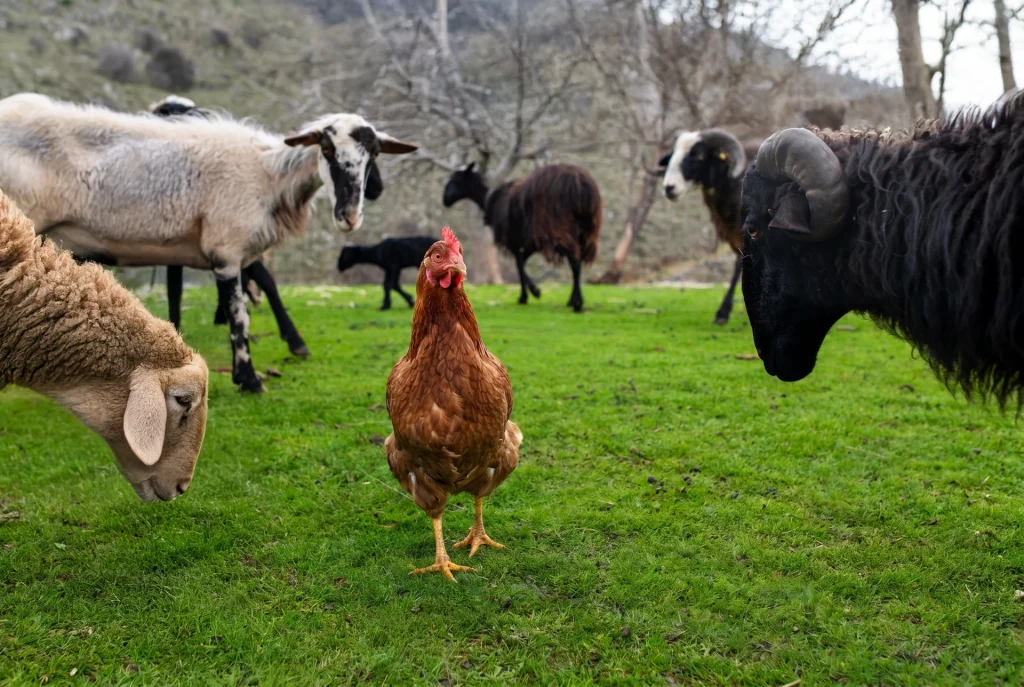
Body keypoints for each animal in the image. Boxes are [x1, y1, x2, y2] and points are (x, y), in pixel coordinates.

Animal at [0, 93, 417, 392]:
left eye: (373, 154)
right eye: (326, 150)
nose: (349, 216)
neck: (269, 177)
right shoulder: (227, 250)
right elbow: (239, 316)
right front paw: (249, 379)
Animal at [442, 163, 602, 312]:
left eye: (456, 180)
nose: (445, 200)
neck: (489, 201)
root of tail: (581, 186)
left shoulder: (516, 240)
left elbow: (519, 264)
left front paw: (529, 294)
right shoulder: (530, 242)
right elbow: (522, 262)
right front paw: (530, 293)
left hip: (560, 227)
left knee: (574, 261)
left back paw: (577, 302)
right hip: (586, 231)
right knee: (577, 261)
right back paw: (573, 300)